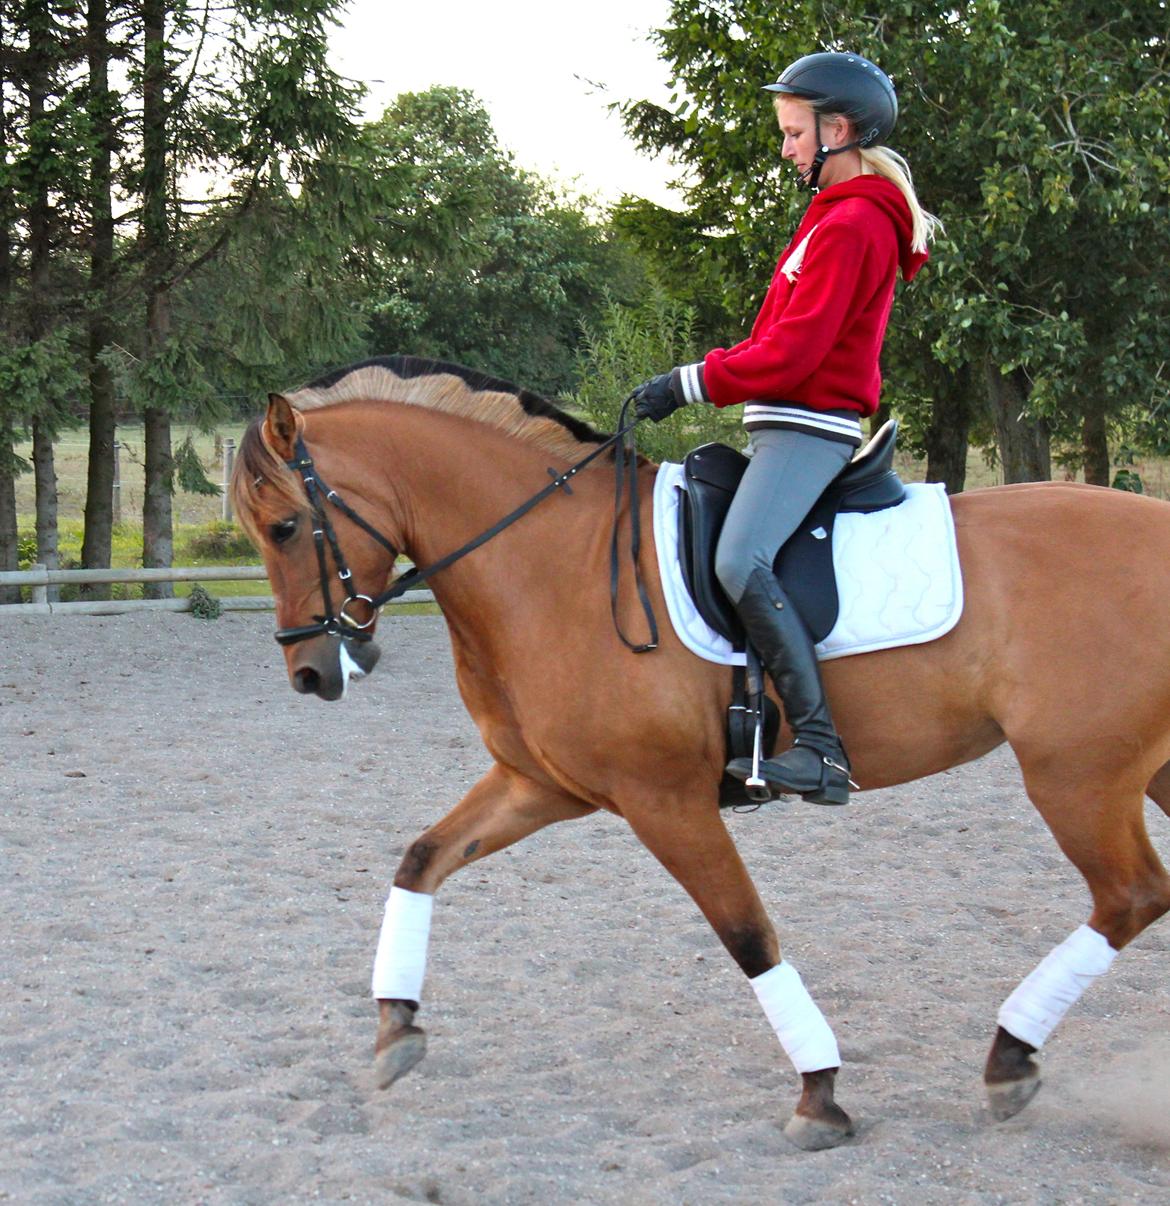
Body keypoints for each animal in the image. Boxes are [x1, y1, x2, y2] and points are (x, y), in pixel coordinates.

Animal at [232, 354, 1167, 1148]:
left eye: (284, 528)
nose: (309, 673)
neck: (550, 563)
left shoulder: (665, 800)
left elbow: (747, 933)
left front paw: (819, 1093)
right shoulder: (539, 784)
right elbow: (421, 859)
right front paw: (396, 1024)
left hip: (1076, 775)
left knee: (1131, 896)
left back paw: (1010, 1056)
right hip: (1143, 770)